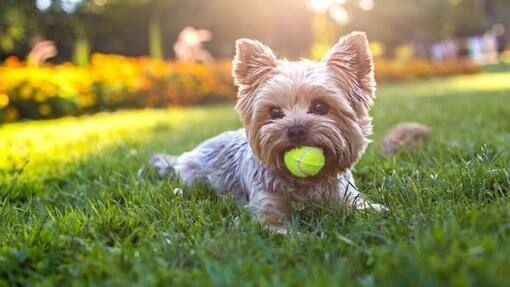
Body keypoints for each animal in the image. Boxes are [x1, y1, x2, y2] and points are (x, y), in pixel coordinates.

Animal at [149, 32, 384, 233]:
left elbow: (362, 206)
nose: (295, 129)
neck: (304, 183)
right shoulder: (267, 204)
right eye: (274, 112)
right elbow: (277, 226)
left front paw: (376, 211)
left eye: (320, 106)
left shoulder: (344, 194)